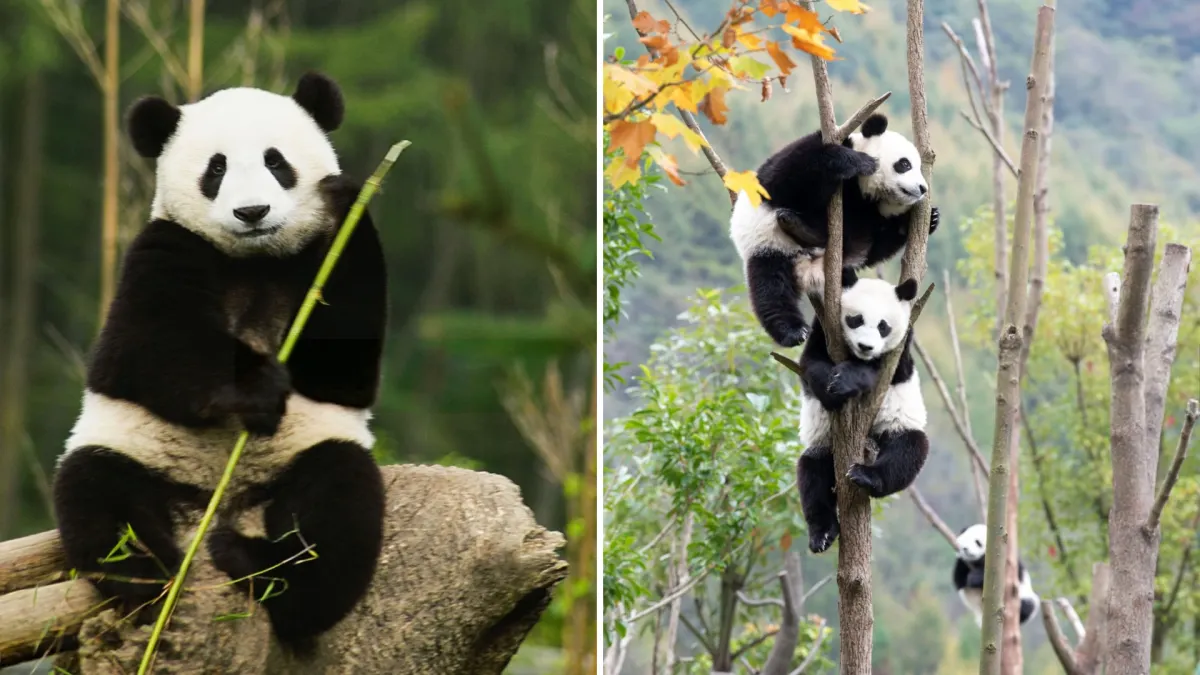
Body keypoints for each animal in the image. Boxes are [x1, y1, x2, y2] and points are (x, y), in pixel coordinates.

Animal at [52, 72, 387, 655]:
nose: (252, 213)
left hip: (302, 459)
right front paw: (257, 386)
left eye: (276, 162)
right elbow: (141, 349)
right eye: (216, 168)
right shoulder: (166, 247)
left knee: (339, 509)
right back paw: (152, 572)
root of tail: (215, 510)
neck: (252, 261)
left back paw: (262, 569)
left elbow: (344, 372)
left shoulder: (317, 262)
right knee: (97, 494)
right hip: (135, 453)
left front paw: (348, 201)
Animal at [729, 113, 938, 347]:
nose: (922, 188)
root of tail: (809, 267)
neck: (863, 190)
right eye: (904, 164)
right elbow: (795, 172)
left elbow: (879, 243)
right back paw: (793, 331)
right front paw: (860, 161)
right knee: (771, 290)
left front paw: (930, 219)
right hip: (769, 246)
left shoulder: (870, 214)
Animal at [794, 268, 929, 553]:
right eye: (856, 319)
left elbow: (879, 370)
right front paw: (831, 389)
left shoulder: (900, 350)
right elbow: (811, 363)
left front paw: (846, 380)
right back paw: (822, 534)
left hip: (893, 429)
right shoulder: (821, 328)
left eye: (883, 326)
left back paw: (865, 477)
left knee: (908, 450)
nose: (866, 347)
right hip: (826, 446)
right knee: (811, 474)